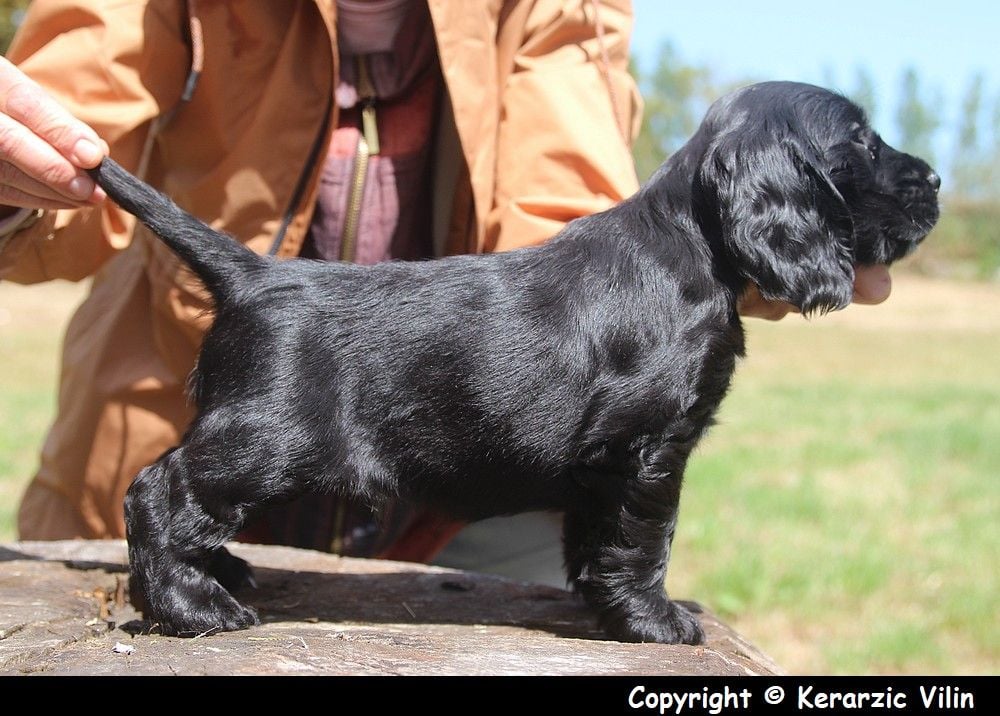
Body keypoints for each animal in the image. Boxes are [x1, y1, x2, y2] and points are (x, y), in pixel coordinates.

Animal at [90, 79, 940, 644]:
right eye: (862, 141)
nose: (934, 177)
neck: (690, 248)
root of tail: (253, 273)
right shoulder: (646, 448)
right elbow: (644, 541)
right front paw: (657, 621)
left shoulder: (605, 465)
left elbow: (596, 540)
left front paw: (604, 608)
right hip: (271, 438)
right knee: (156, 491)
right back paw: (194, 606)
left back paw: (221, 574)